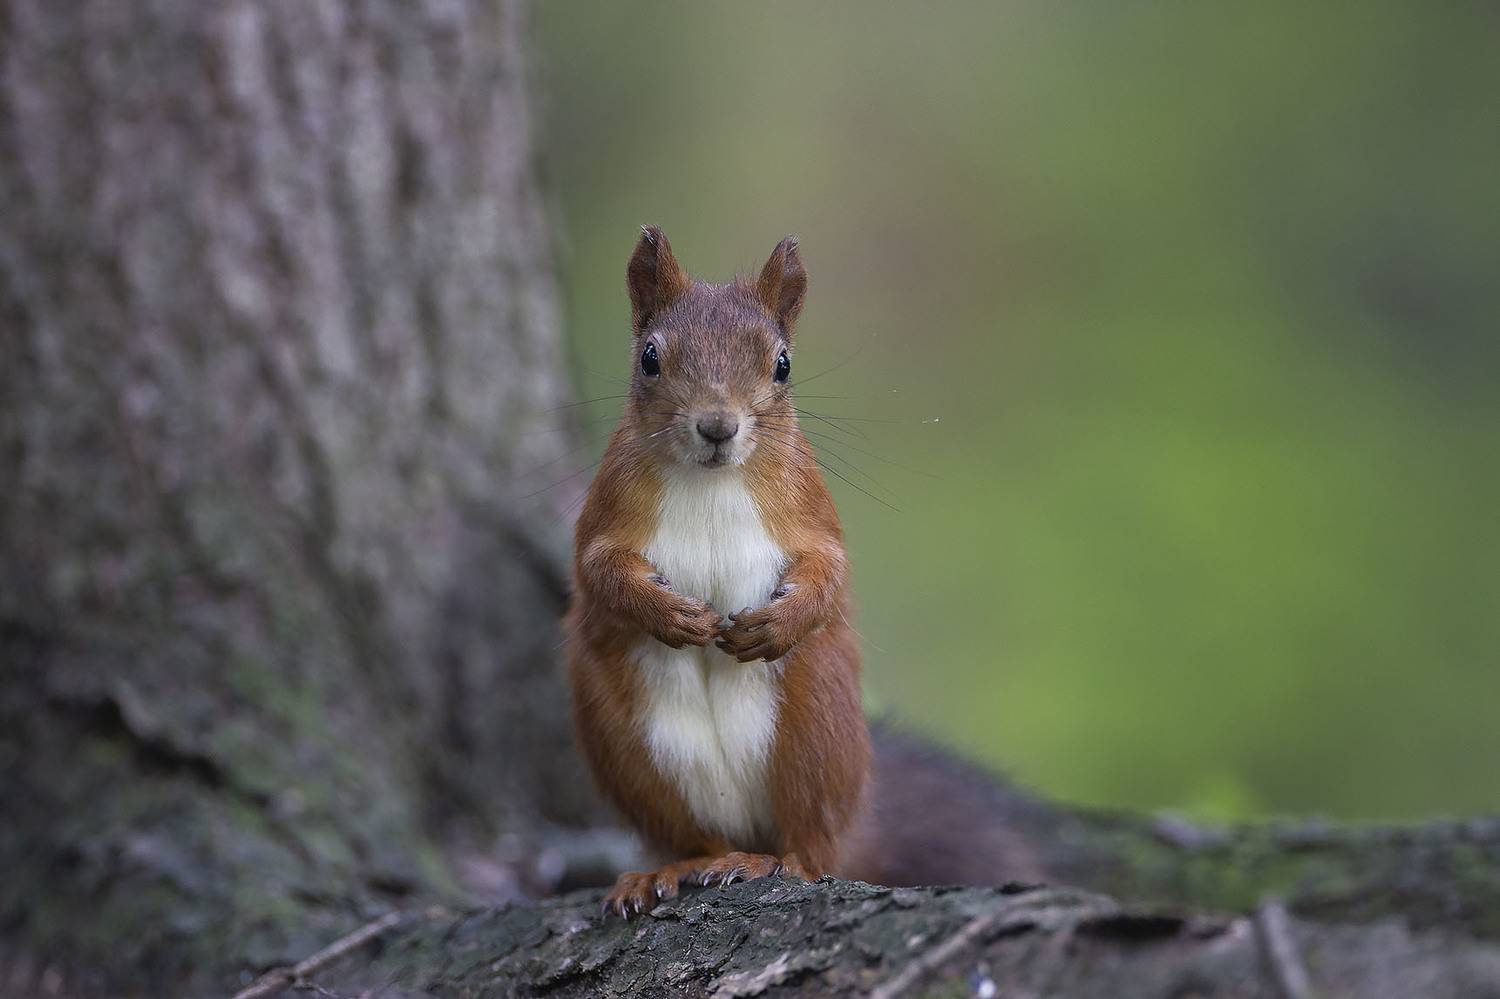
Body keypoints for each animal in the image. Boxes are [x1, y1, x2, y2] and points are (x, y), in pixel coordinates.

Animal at [564, 226, 873, 916]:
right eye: (650, 358)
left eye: (782, 364)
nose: (717, 425)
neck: (709, 481)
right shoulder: (604, 514)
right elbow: (598, 571)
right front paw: (672, 615)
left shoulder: (809, 508)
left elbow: (831, 570)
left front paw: (778, 624)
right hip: (629, 747)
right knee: (691, 837)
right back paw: (672, 869)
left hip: (817, 727)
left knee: (815, 845)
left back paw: (776, 862)